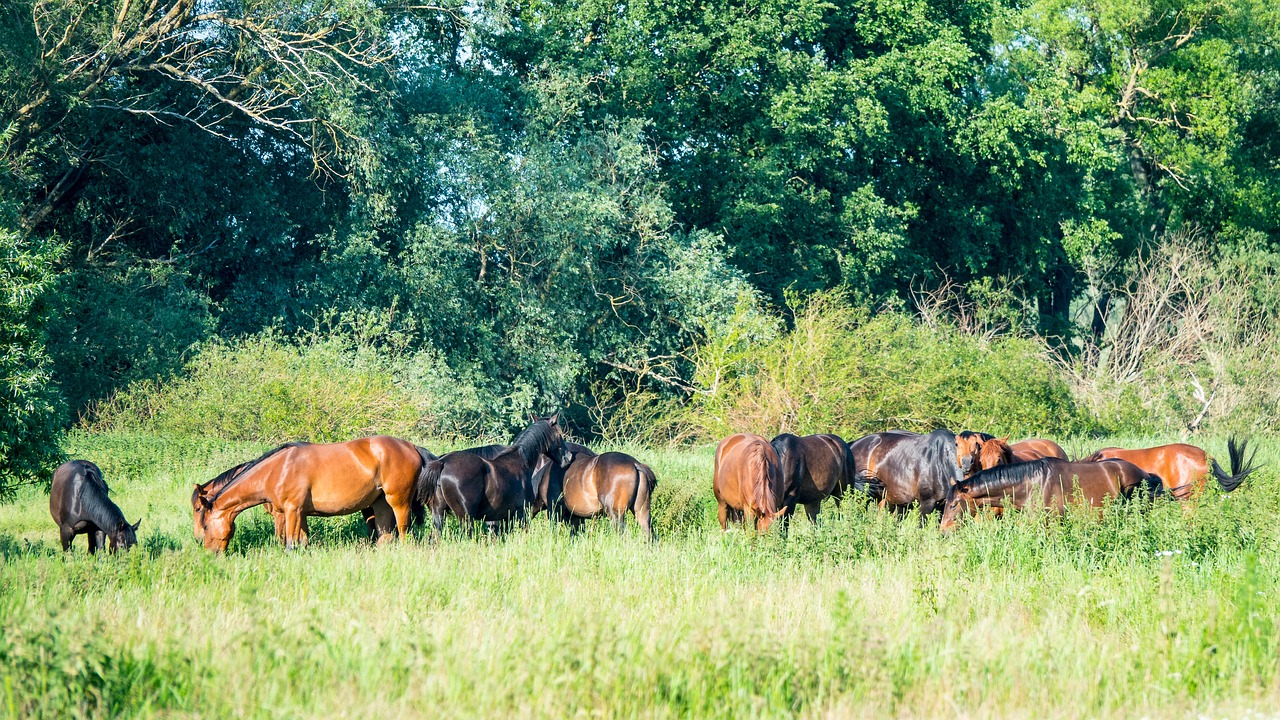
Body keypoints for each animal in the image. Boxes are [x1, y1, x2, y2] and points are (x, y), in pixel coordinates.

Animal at [193, 436, 435, 551]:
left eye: (204, 524)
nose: (208, 552)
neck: (278, 469)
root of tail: (412, 447)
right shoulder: (299, 514)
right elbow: (302, 541)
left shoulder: (291, 511)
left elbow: (289, 544)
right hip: (380, 504)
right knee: (385, 537)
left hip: (398, 502)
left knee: (404, 532)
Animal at [419, 414, 572, 536]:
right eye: (560, 435)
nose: (568, 457)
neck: (521, 462)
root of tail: (443, 462)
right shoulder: (521, 514)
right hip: (466, 518)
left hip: (439, 514)